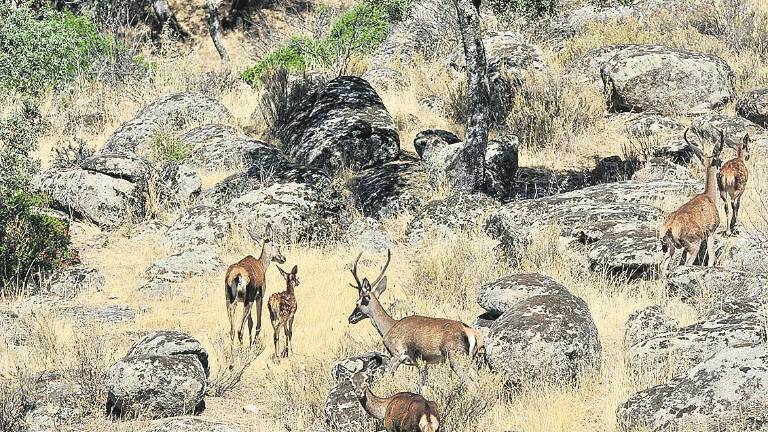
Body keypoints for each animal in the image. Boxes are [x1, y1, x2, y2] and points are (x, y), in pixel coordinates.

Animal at [344, 250, 484, 388]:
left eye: (358, 302)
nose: (351, 318)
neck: (390, 326)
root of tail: (471, 332)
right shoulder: (423, 363)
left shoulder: (398, 356)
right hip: (472, 361)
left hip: (455, 358)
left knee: (470, 383)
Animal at [656, 127, 724, 274]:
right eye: (719, 159)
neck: (709, 197)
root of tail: (669, 227)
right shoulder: (711, 231)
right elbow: (711, 257)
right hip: (693, 245)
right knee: (686, 264)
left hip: (670, 248)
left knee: (663, 265)